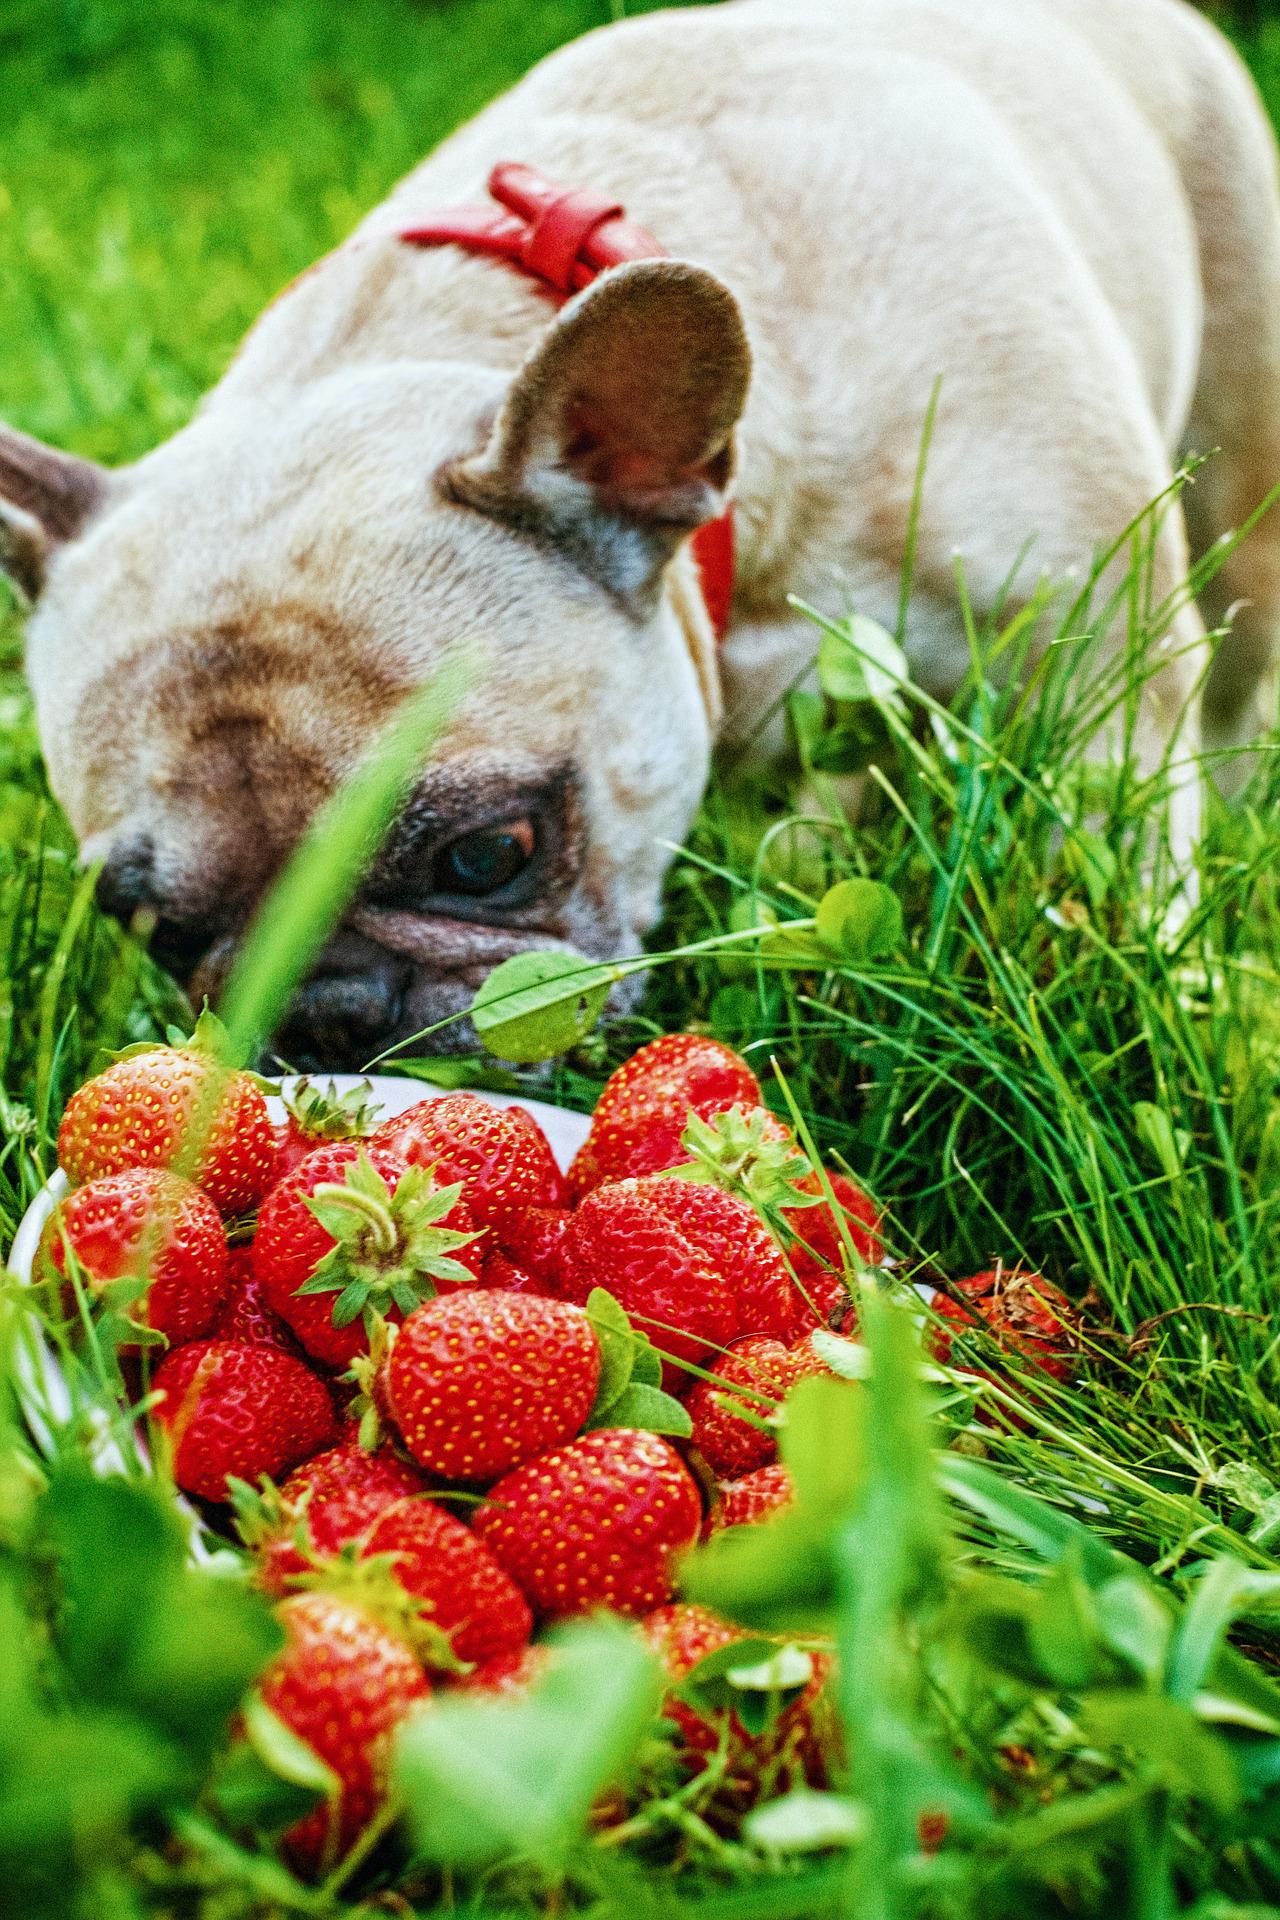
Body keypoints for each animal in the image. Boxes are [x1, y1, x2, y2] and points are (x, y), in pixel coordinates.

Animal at [2, 0, 1280, 1067]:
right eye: (153, 927)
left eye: (485, 856)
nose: (325, 1014)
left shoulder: (1100, 675)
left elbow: (1120, 853)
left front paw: (1160, 999)